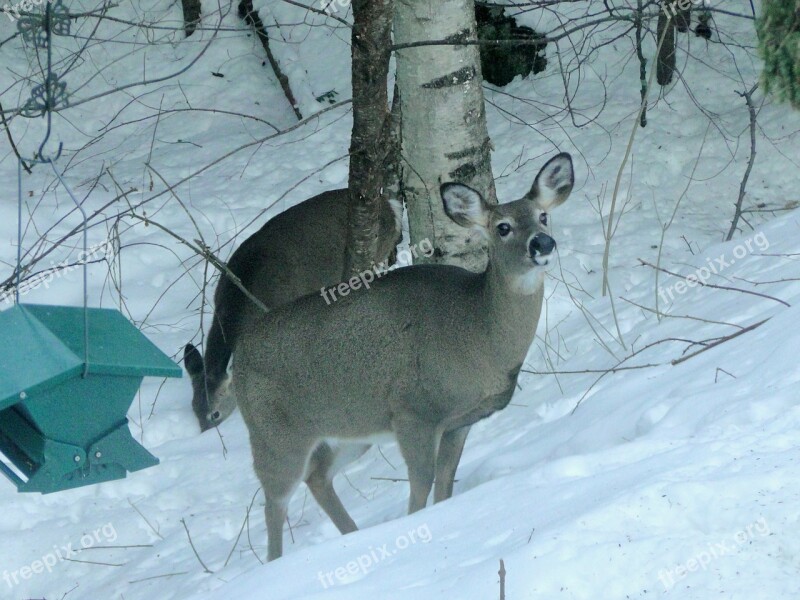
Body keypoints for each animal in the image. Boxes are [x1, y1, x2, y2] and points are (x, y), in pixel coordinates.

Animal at [231, 152, 576, 560]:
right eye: (503, 227)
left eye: (543, 215)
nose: (543, 243)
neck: (476, 333)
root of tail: (237, 357)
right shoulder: (413, 411)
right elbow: (421, 485)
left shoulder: (460, 421)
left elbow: (445, 483)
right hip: (274, 436)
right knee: (274, 502)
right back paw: (277, 562)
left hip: (352, 428)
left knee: (318, 476)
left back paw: (353, 535)